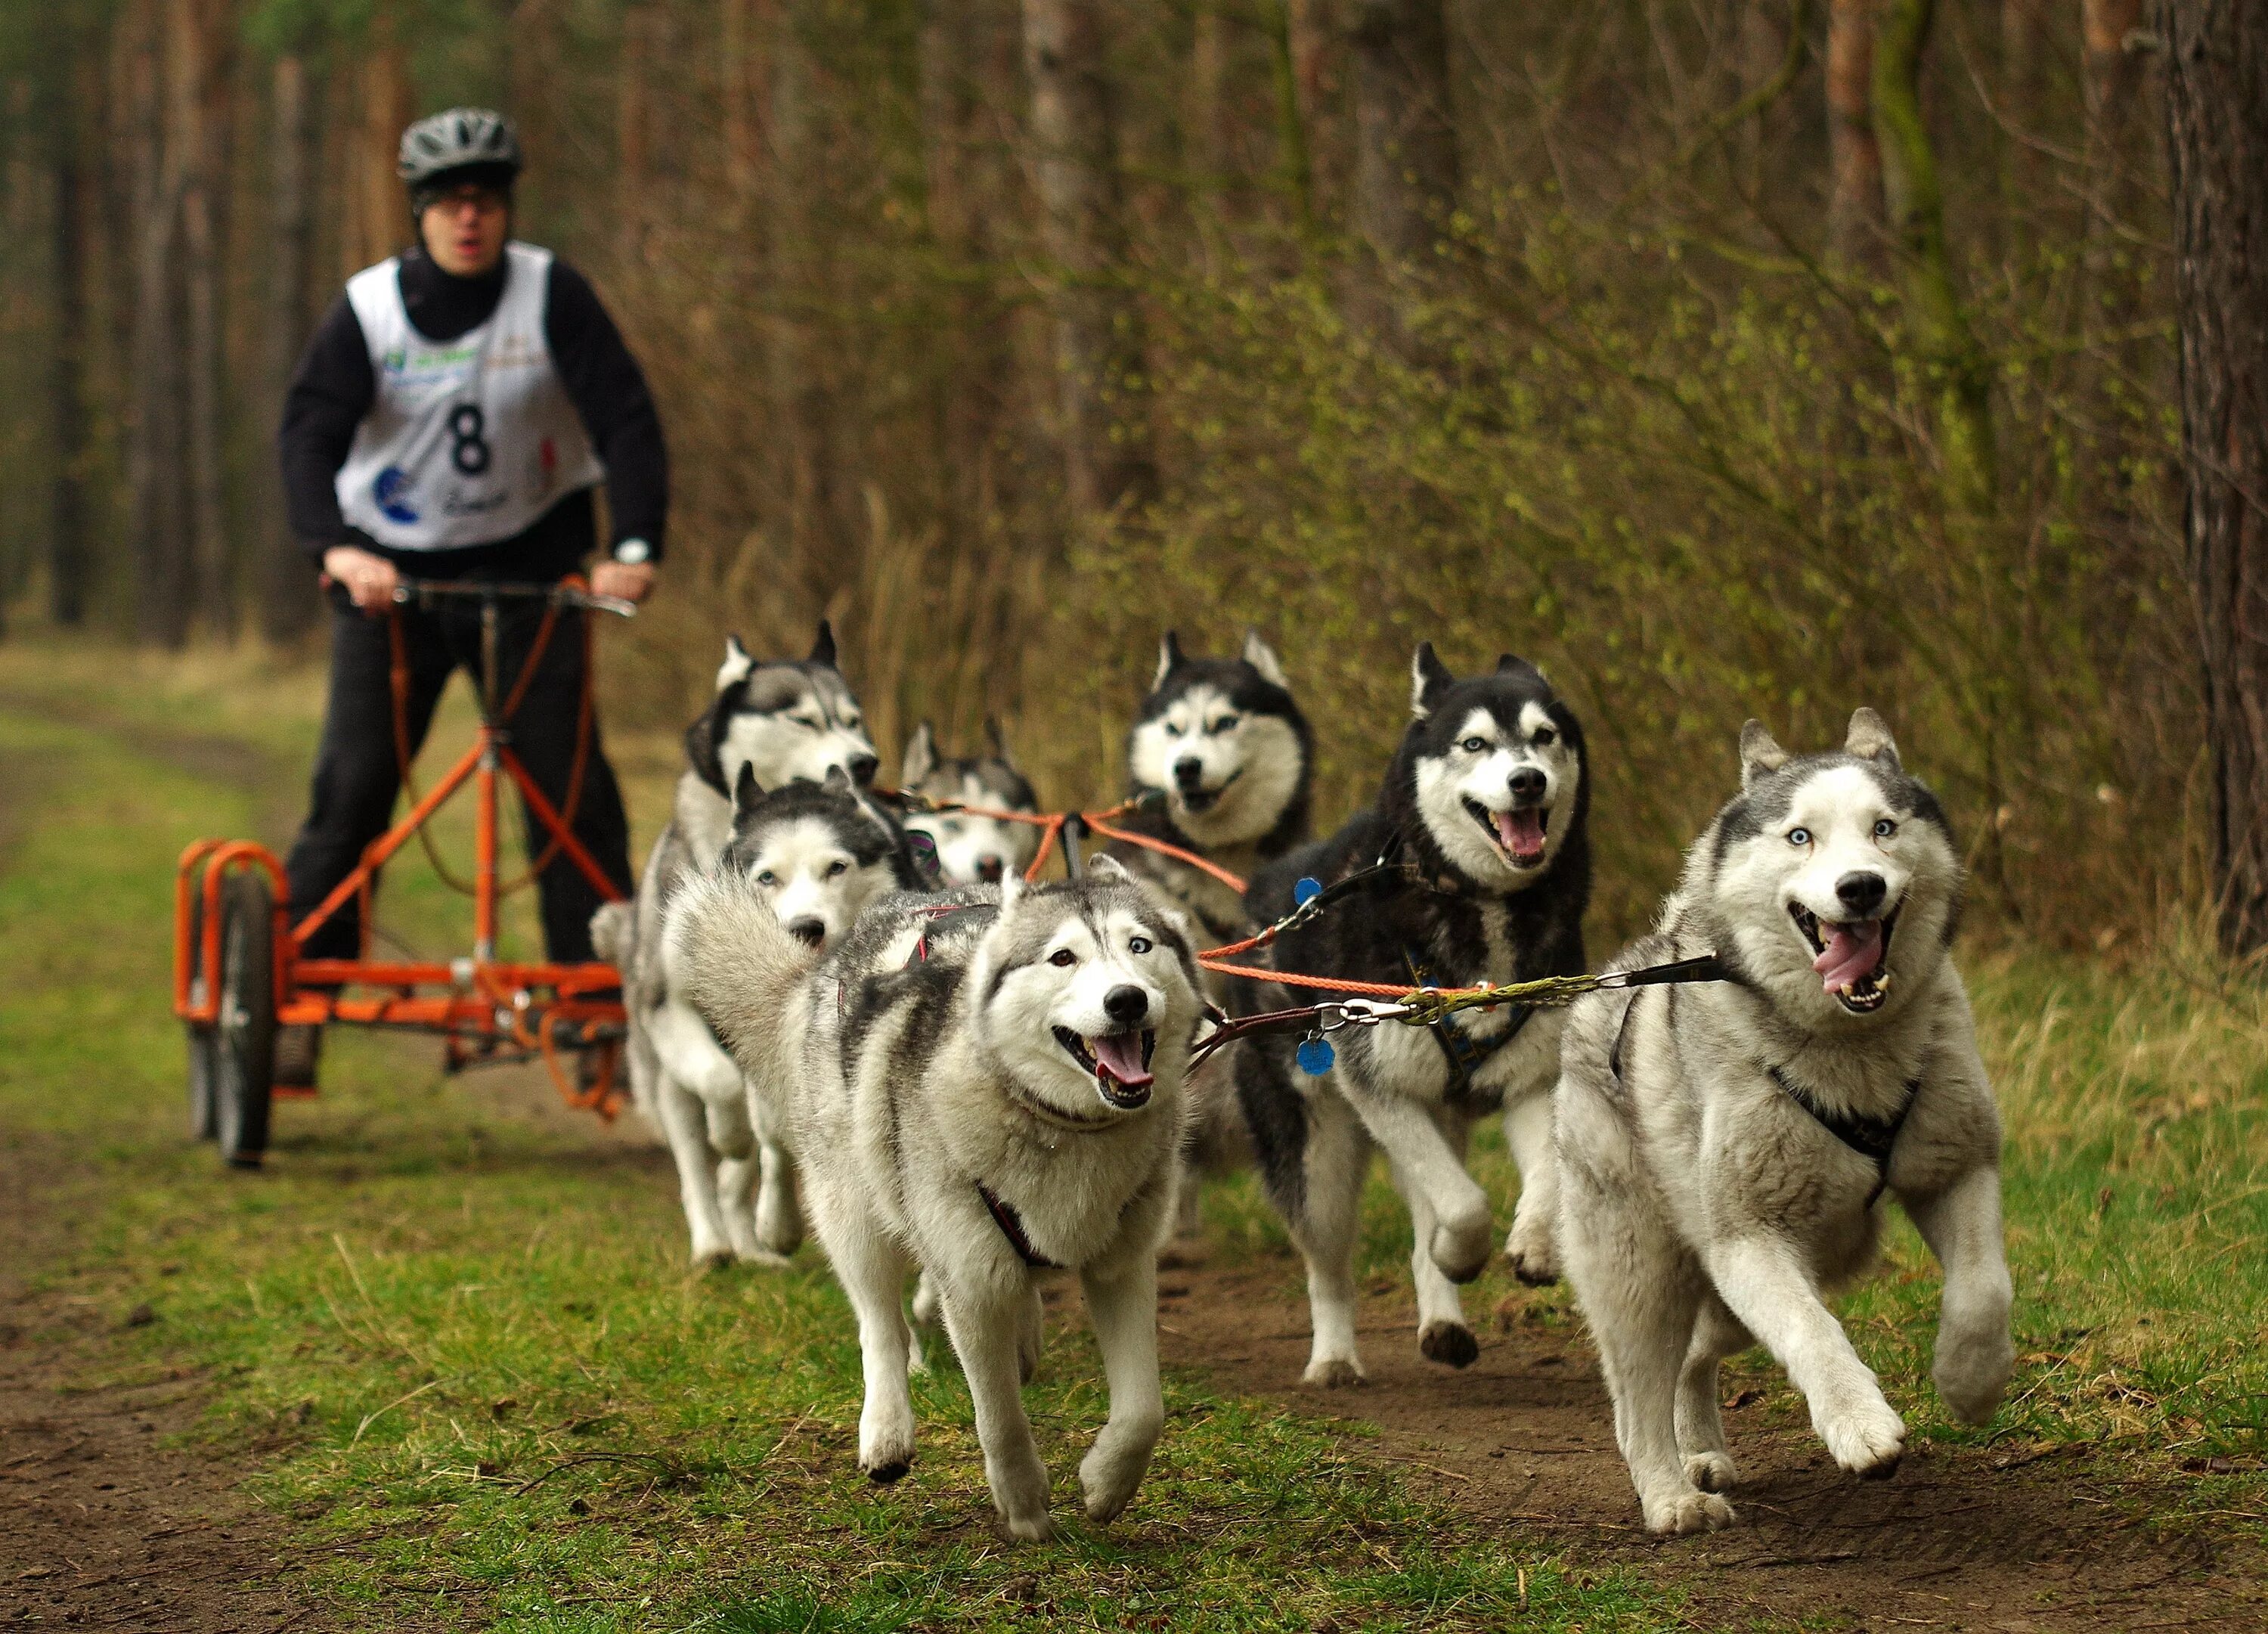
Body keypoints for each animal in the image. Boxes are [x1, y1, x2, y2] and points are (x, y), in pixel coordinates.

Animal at [671, 862, 1207, 1533]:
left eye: (1140, 945)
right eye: (1063, 957)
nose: (1127, 999)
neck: (1059, 1124)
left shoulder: (1122, 1263)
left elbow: (1142, 1412)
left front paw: (1108, 1483)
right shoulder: (973, 1285)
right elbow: (998, 1417)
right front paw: (1024, 1506)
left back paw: (1023, 1338)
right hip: (856, 1208)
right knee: (880, 1322)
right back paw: (886, 1429)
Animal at [1234, 644, 1588, 1388]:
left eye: (1545, 736)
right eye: (1474, 743)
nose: (1528, 781)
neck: (1476, 905)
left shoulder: (1532, 1081)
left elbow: (1537, 1178)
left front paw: (1535, 1245)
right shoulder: (1383, 1088)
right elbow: (1465, 1205)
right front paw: (1463, 1254)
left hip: (1433, 1116)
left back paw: (1443, 1320)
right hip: (1321, 1153)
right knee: (1329, 1261)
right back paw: (1334, 1356)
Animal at [1560, 712, 2023, 1533]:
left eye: (1884, 827)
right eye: (1800, 835)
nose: (1861, 886)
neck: (1848, 1051)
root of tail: (1613, 977)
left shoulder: (1957, 1167)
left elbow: (1983, 1291)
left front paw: (1970, 1380)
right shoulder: (1749, 1239)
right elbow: (1813, 1331)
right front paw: (1860, 1425)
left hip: (1727, 1293)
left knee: (1694, 1357)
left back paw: (1701, 1449)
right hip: (1642, 1272)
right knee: (1637, 1397)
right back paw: (1671, 1494)